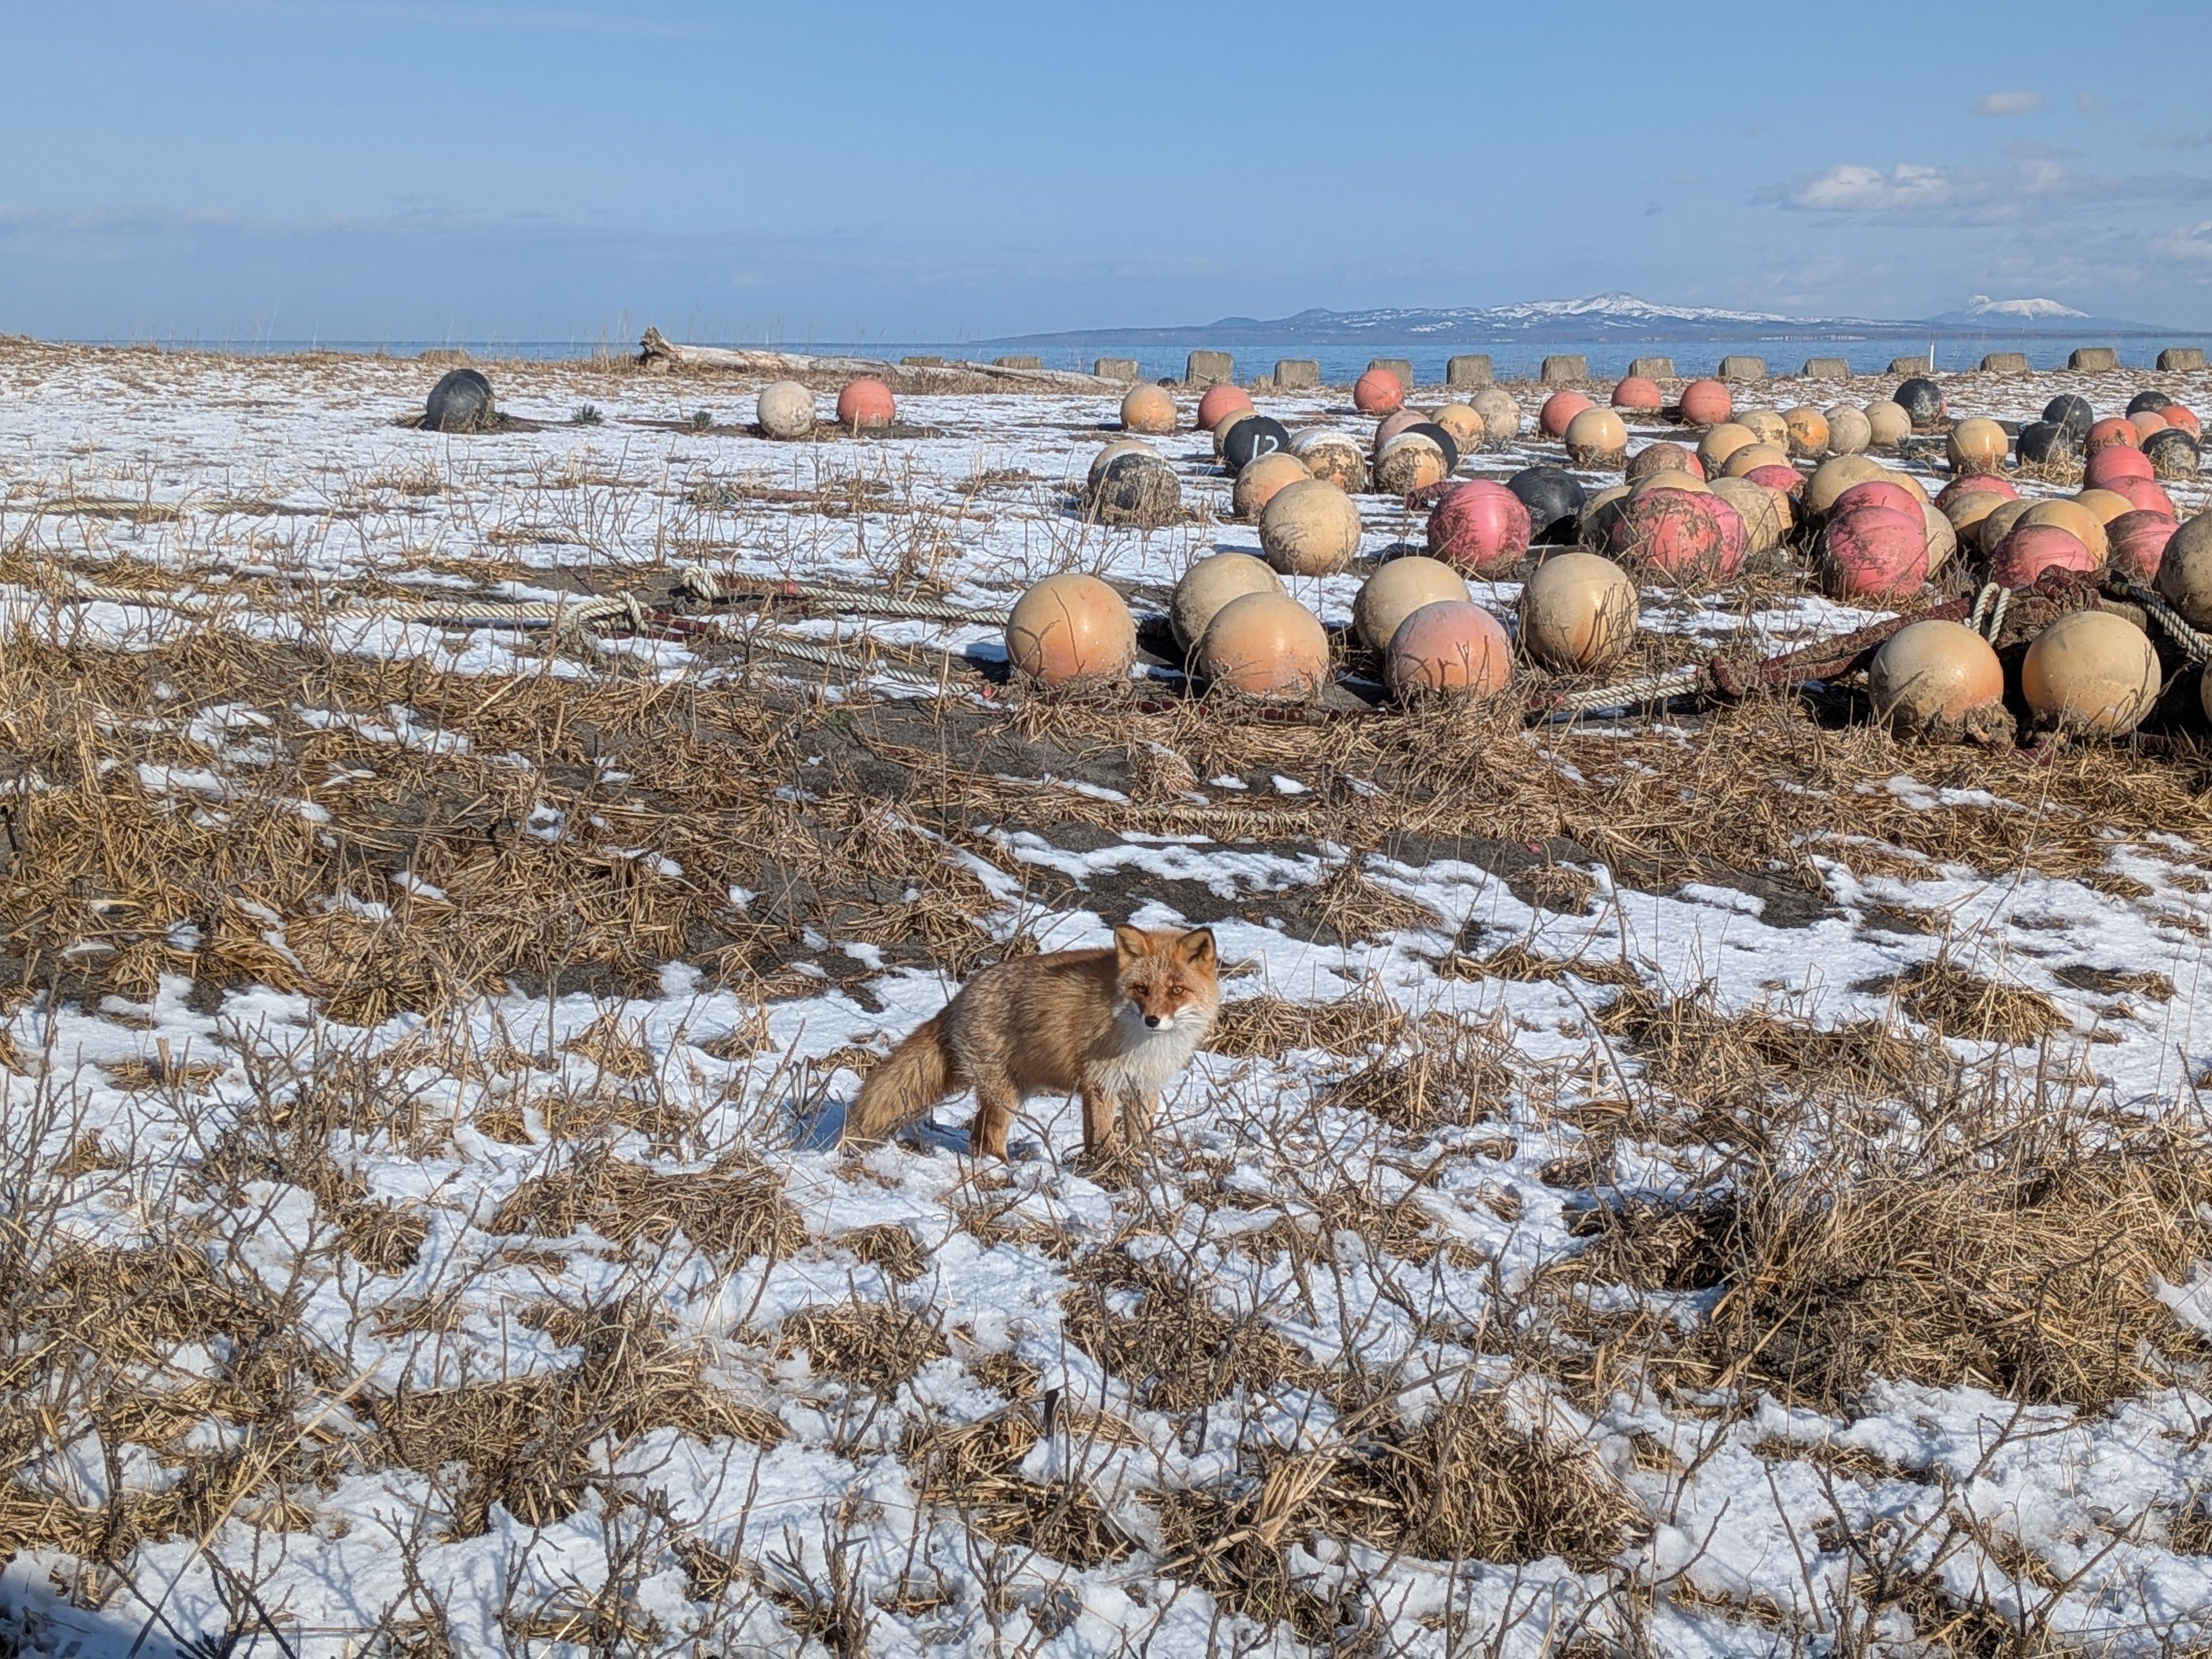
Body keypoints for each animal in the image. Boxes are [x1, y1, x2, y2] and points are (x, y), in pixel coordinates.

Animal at [841, 925, 1220, 1159]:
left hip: (1013, 1090)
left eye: (1177, 991)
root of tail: (959, 998)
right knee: (990, 1136)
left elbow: (1137, 1138)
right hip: (1006, 1095)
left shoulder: (1144, 1086)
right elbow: (1102, 1136)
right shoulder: (1100, 1083)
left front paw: (1138, 1166)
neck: (1144, 1044)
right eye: (1141, 989)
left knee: (977, 1135)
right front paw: (1110, 1168)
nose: (1152, 1020)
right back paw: (1001, 1172)